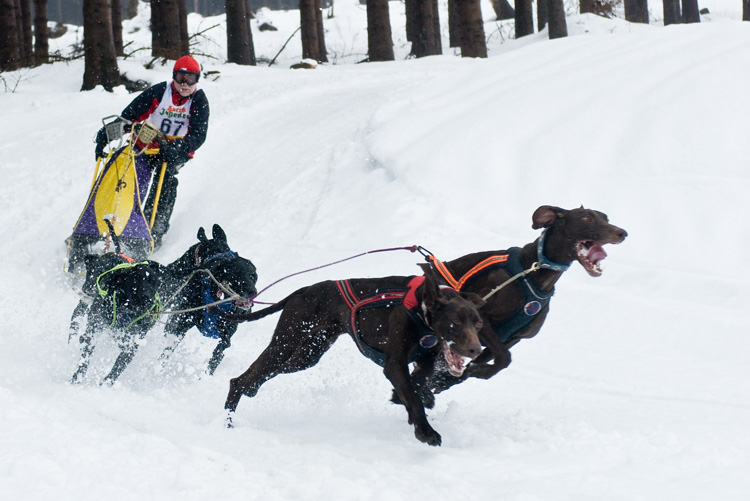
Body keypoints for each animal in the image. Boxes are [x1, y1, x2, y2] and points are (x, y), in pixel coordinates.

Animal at [226, 270, 488, 446]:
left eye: (478, 324)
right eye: (455, 322)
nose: (476, 350)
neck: (421, 309)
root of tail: (305, 290)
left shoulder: (425, 360)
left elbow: (416, 385)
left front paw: (411, 401)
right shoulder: (394, 365)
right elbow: (413, 397)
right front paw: (425, 431)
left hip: (306, 355)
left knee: (255, 377)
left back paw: (248, 393)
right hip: (284, 343)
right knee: (238, 380)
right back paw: (228, 420)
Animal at [400, 205, 628, 404]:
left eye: (606, 218)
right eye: (587, 218)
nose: (622, 233)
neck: (534, 274)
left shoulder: (512, 338)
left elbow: (493, 360)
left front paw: (465, 375)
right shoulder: (484, 323)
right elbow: (504, 357)